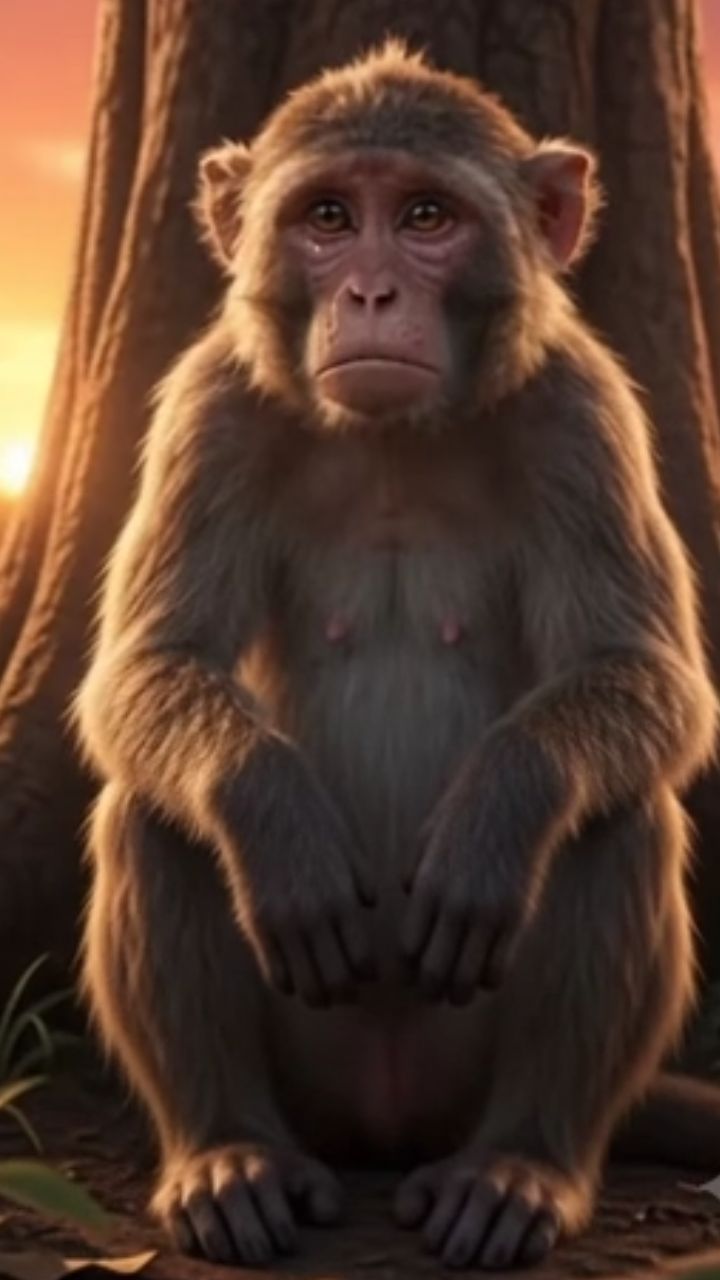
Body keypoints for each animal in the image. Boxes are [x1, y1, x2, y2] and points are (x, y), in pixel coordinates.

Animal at [75, 40, 720, 1271]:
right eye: (329, 217)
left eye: (426, 217)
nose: (371, 291)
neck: (392, 442)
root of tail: (387, 1122)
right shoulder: (210, 403)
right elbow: (145, 669)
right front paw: (271, 811)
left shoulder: (582, 410)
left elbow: (650, 679)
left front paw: (500, 809)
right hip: (313, 1060)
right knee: (154, 808)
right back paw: (230, 1150)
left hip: (461, 1058)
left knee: (620, 816)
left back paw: (521, 1165)